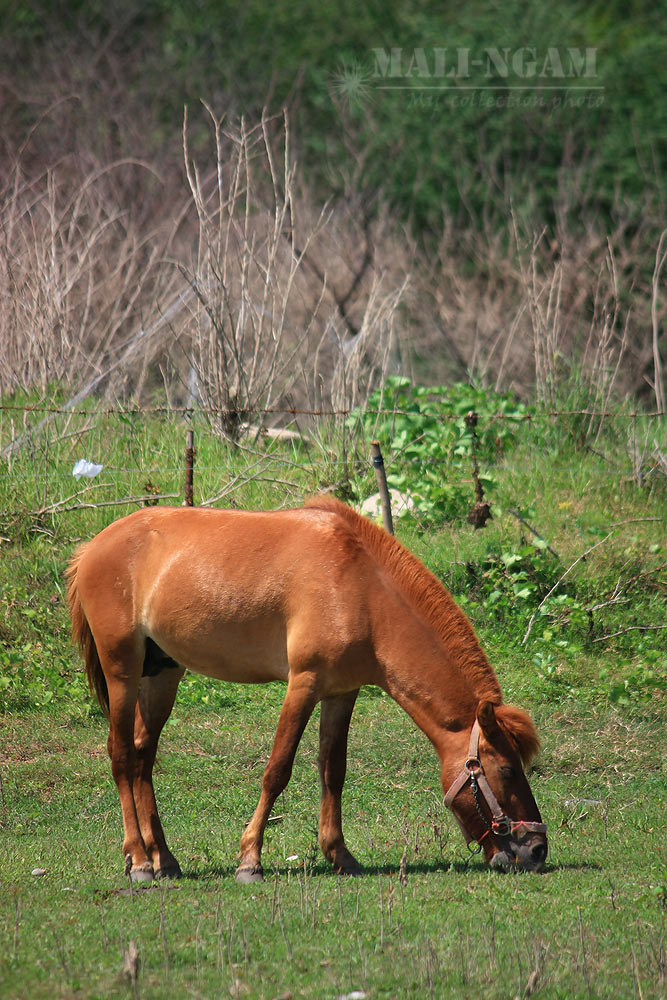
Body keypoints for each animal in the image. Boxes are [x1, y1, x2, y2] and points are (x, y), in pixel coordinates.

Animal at [66, 496, 548, 880]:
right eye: (507, 769)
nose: (536, 849)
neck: (362, 589)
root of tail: (91, 548)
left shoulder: (341, 692)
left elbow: (333, 771)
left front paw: (340, 855)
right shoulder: (304, 684)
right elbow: (277, 769)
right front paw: (250, 860)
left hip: (162, 673)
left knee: (143, 757)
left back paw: (163, 859)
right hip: (122, 671)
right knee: (122, 756)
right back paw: (139, 861)